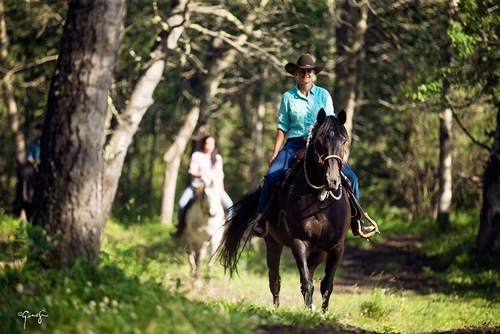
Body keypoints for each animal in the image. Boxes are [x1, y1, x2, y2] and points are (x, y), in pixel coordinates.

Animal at [221, 108, 358, 312]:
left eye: (344, 141)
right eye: (319, 141)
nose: (332, 180)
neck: (321, 199)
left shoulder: (336, 246)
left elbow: (327, 284)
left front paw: (323, 313)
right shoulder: (298, 241)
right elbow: (307, 281)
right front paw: (309, 312)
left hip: (320, 250)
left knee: (310, 271)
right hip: (273, 243)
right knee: (275, 279)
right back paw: (277, 309)